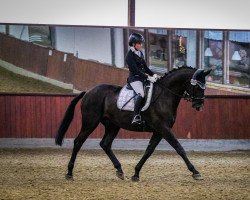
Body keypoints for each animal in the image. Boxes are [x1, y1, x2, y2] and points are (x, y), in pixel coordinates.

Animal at [54, 67, 211, 181]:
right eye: (198, 86)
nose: (199, 106)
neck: (165, 96)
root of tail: (88, 92)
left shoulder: (159, 131)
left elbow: (149, 151)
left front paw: (136, 173)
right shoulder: (163, 128)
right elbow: (179, 148)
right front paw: (195, 172)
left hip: (112, 125)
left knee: (105, 144)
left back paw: (119, 170)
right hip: (90, 122)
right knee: (78, 142)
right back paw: (69, 173)